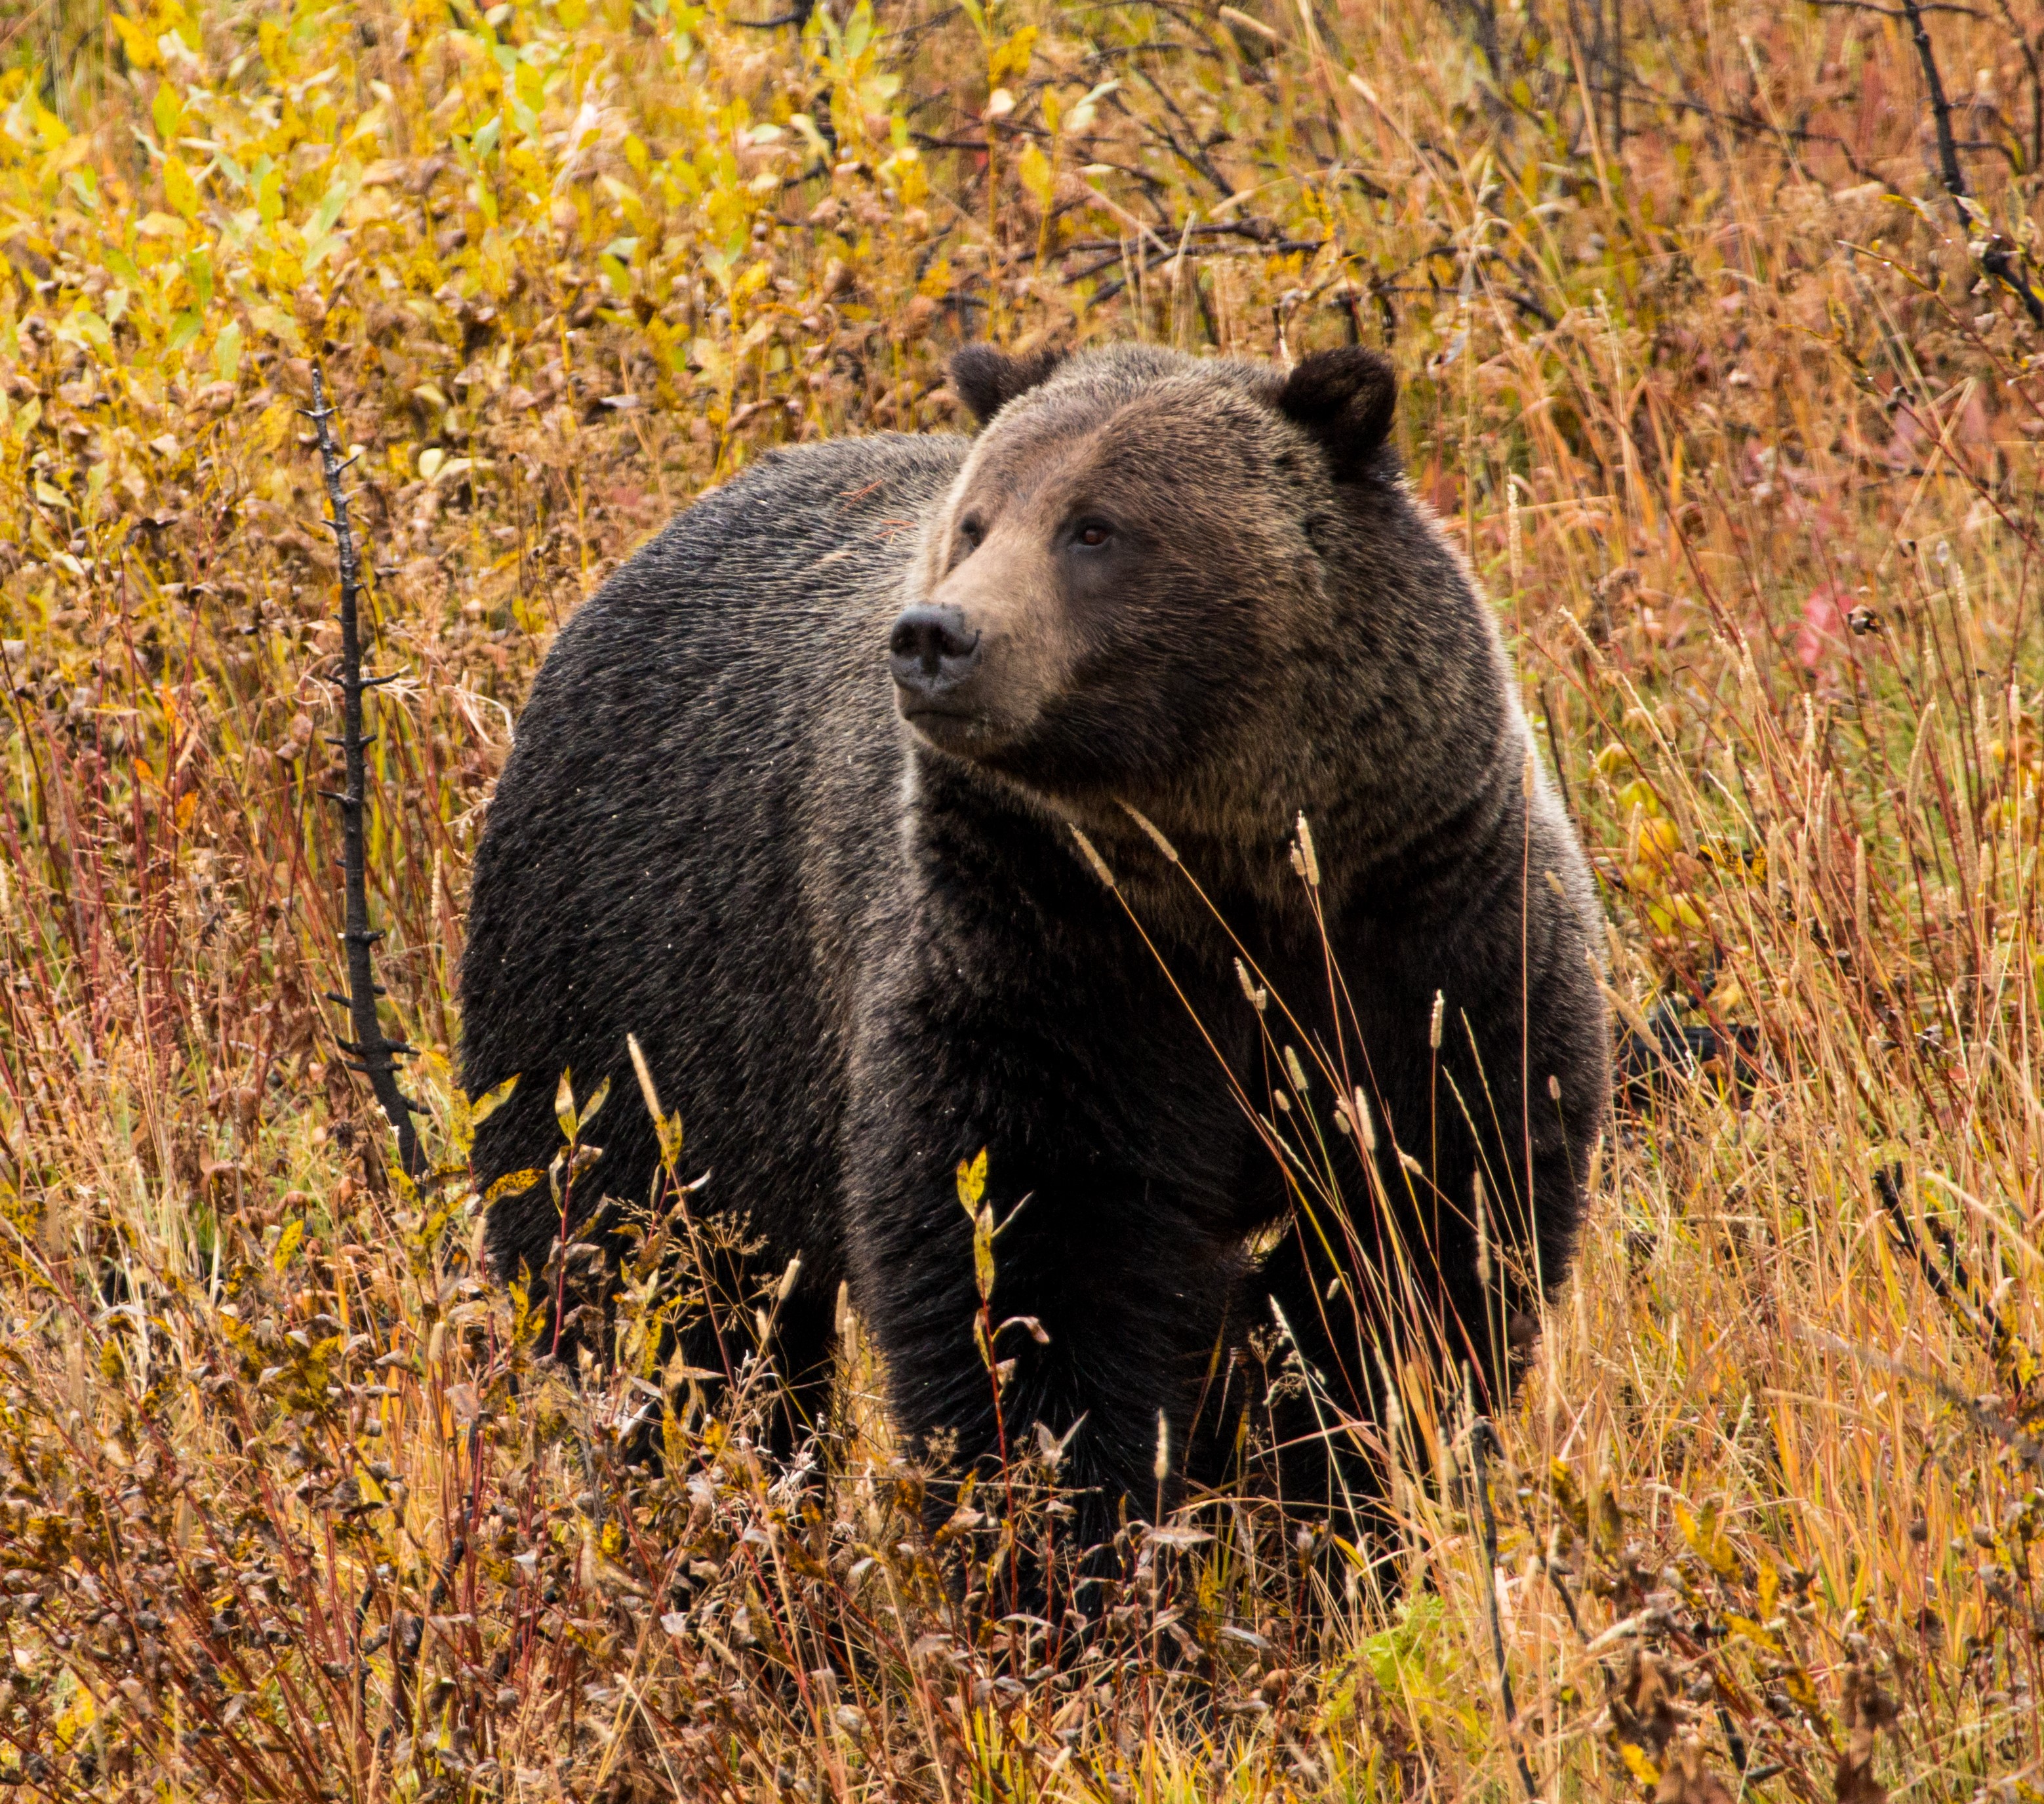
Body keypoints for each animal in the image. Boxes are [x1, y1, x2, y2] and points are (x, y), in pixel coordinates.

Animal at [464, 341, 1611, 1552]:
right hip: (636, 1003)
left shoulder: (1428, 935)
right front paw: (1067, 1531)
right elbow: (1028, 1264)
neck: (1227, 882)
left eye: (1095, 527)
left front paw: (1328, 1489)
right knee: (660, 1295)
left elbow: (1425, 1240)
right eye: (976, 521)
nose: (934, 636)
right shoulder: (1039, 958)